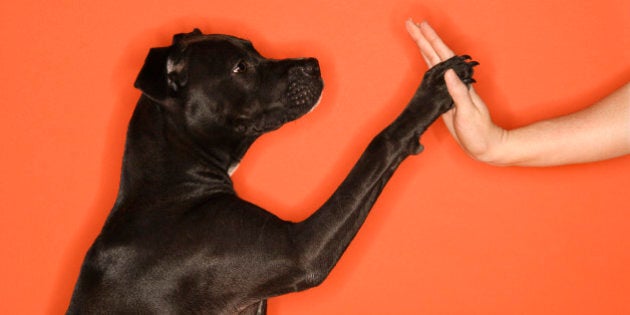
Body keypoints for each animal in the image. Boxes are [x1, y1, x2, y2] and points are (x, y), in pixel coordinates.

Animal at [66, 28, 476, 314]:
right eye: (240, 67)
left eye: (255, 50)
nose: (314, 63)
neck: (169, 185)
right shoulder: (299, 251)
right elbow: (379, 144)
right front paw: (432, 92)